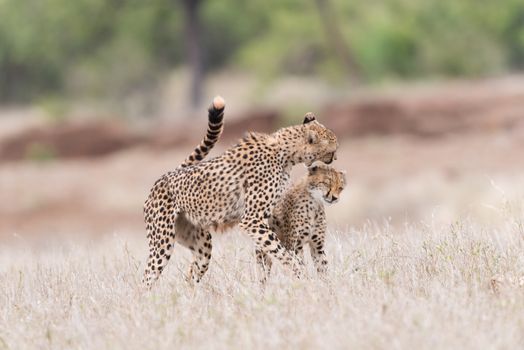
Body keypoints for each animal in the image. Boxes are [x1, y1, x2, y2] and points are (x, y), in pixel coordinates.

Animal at [142, 97, 340, 288]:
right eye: (333, 148)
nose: (336, 157)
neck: (285, 153)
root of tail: (163, 177)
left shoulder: (265, 219)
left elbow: (271, 254)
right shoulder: (252, 220)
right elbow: (281, 252)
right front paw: (301, 275)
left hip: (201, 245)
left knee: (192, 273)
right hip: (162, 241)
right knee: (147, 277)